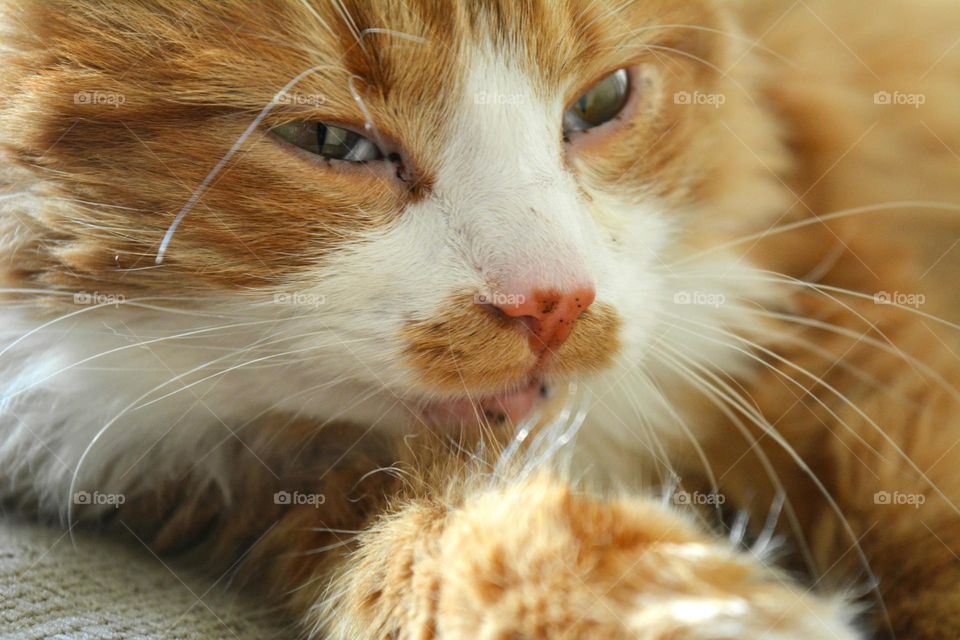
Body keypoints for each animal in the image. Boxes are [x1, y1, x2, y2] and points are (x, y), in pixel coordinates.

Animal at [1, 0, 960, 636]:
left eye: (603, 100)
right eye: (330, 142)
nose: (554, 304)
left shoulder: (841, 310)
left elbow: (922, 496)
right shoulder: (264, 488)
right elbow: (441, 544)